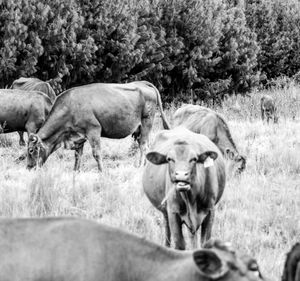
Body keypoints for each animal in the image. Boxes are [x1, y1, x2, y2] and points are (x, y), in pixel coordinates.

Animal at [26, 80, 170, 170]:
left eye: (31, 150)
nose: (28, 167)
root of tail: (142, 83)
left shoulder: (93, 130)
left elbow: (96, 154)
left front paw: (102, 172)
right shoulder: (78, 136)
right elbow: (78, 156)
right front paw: (75, 172)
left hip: (147, 122)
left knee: (144, 146)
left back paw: (140, 166)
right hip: (139, 129)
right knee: (144, 145)